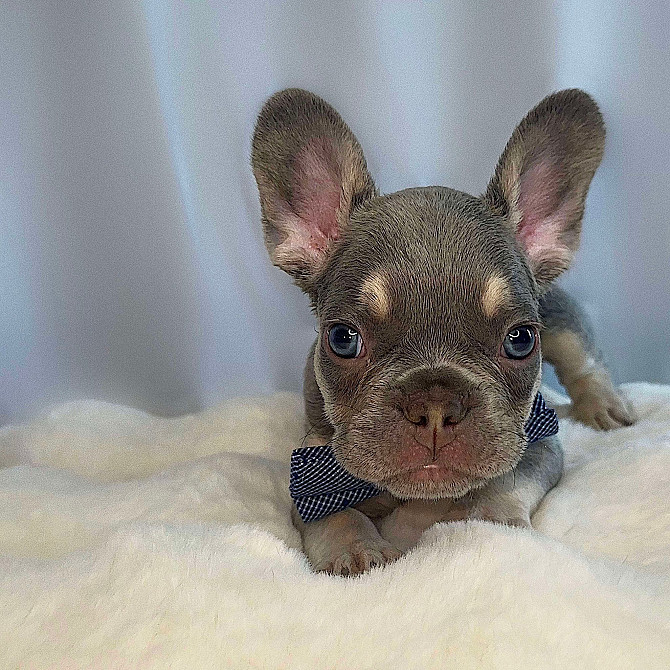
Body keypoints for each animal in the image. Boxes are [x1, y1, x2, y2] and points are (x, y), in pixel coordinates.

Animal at [251, 86, 636, 576]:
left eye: (521, 340)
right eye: (342, 338)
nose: (435, 404)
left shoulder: (537, 443)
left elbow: (507, 480)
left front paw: (491, 520)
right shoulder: (309, 471)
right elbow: (336, 513)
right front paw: (355, 550)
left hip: (563, 322)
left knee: (583, 360)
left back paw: (604, 407)